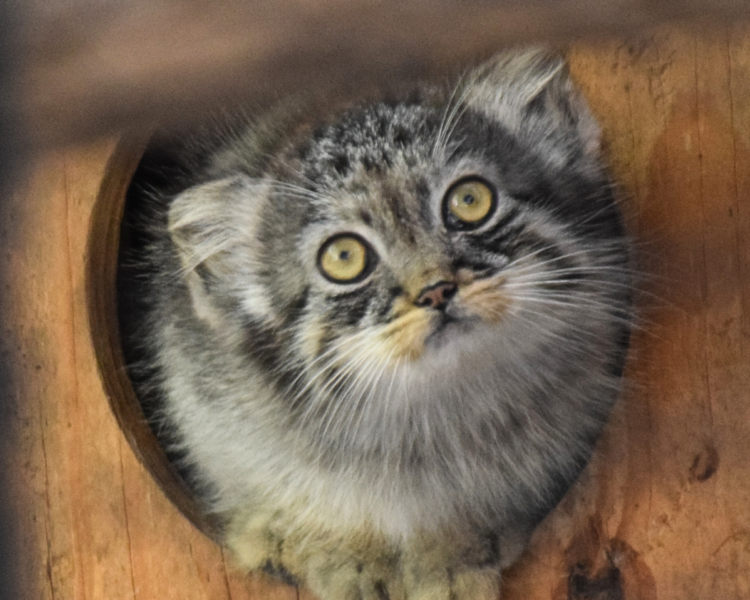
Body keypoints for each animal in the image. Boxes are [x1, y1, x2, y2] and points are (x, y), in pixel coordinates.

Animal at [119, 50, 636, 600]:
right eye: (344, 257)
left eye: (470, 201)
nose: (435, 290)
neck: (431, 419)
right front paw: (339, 551)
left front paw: (451, 551)